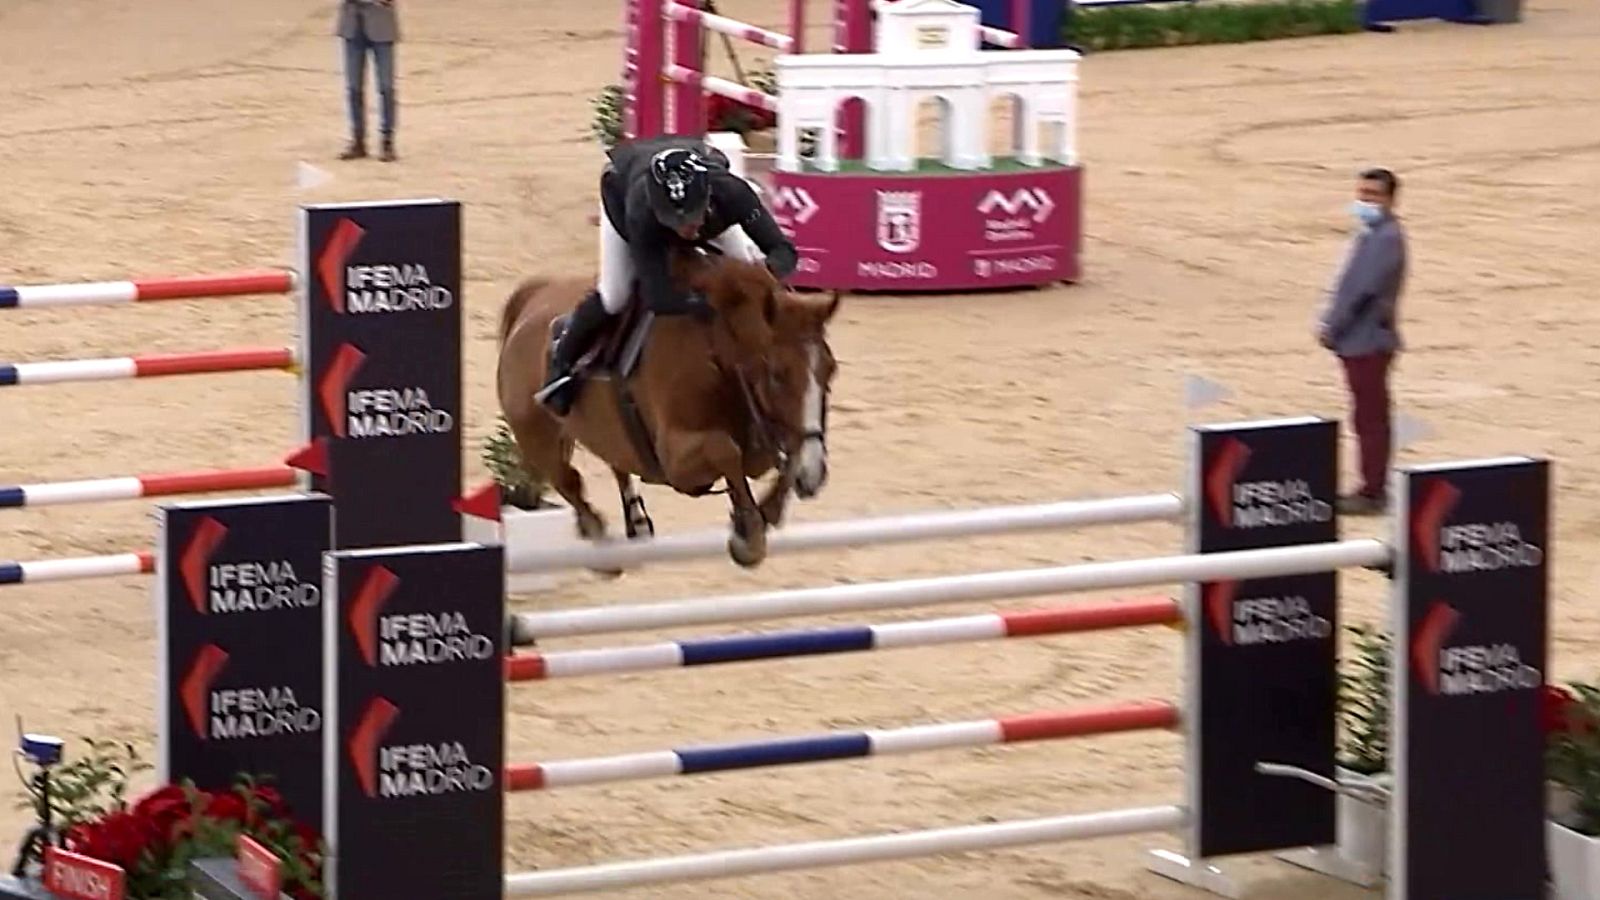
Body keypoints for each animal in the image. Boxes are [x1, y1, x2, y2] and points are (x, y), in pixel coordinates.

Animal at [495, 246, 840, 570]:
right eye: (778, 375)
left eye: (830, 371)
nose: (815, 478)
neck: (718, 351)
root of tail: (530, 299)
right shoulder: (676, 461)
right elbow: (725, 450)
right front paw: (750, 535)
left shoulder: (765, 437)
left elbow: (779, 458)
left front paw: (765, 513)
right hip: (536, 434)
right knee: (567, 480)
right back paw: (601, 546)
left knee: (614, 463)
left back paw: (636, 522)